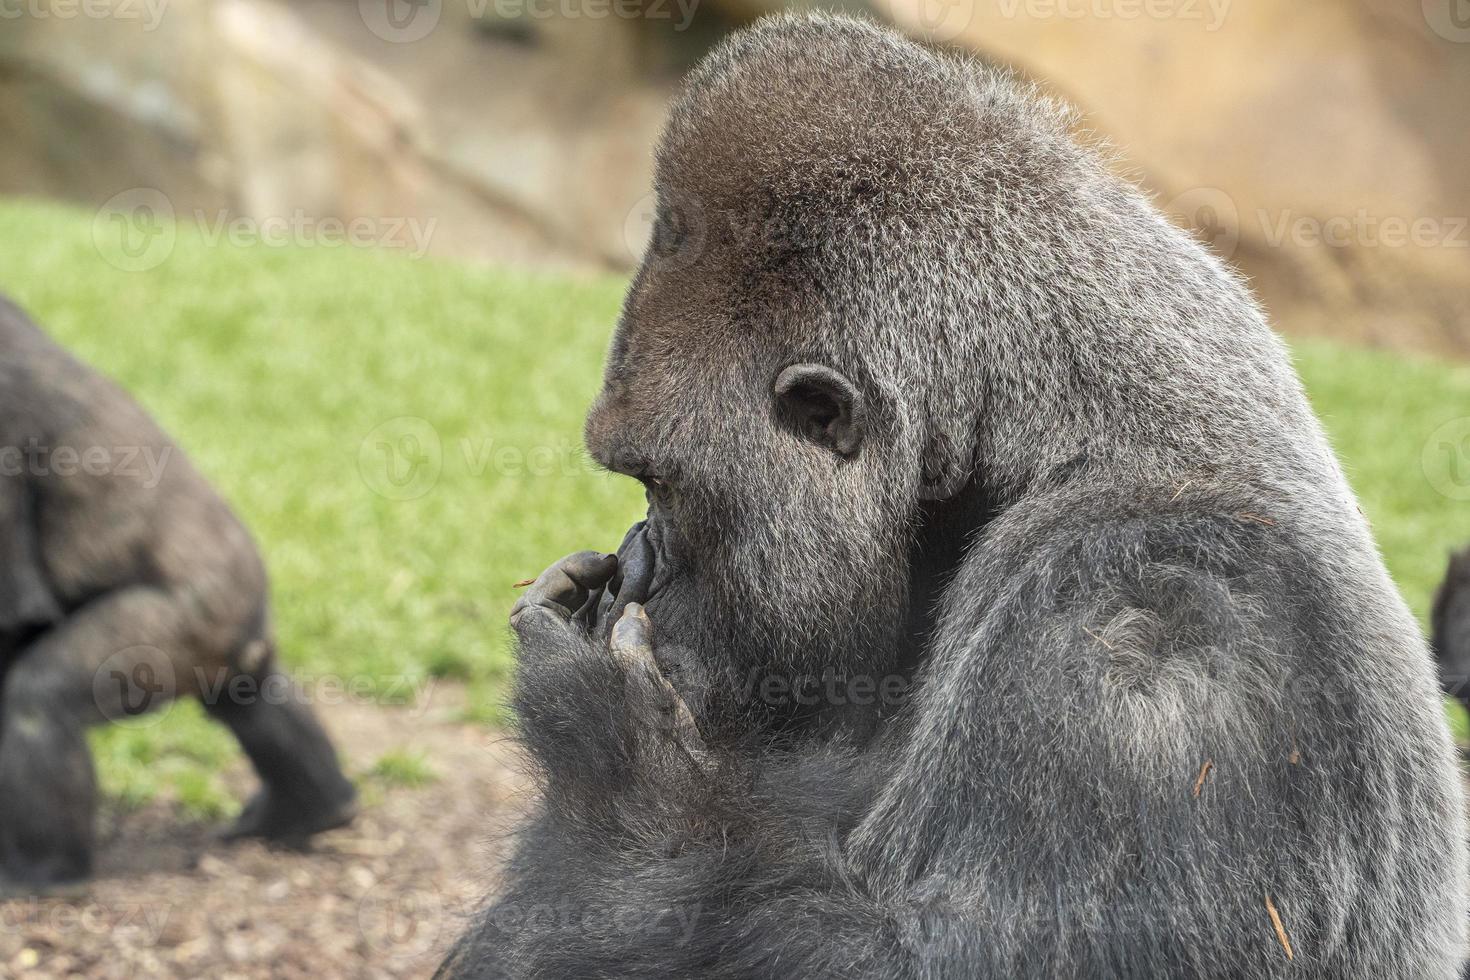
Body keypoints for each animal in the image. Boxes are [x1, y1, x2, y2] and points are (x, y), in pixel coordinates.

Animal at [0, 295, 355, 893]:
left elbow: (16, 611)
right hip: (232, 643)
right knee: (250, 702)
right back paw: (313, 810)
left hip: (171, 630)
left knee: (38, 702)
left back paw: (44, 874)